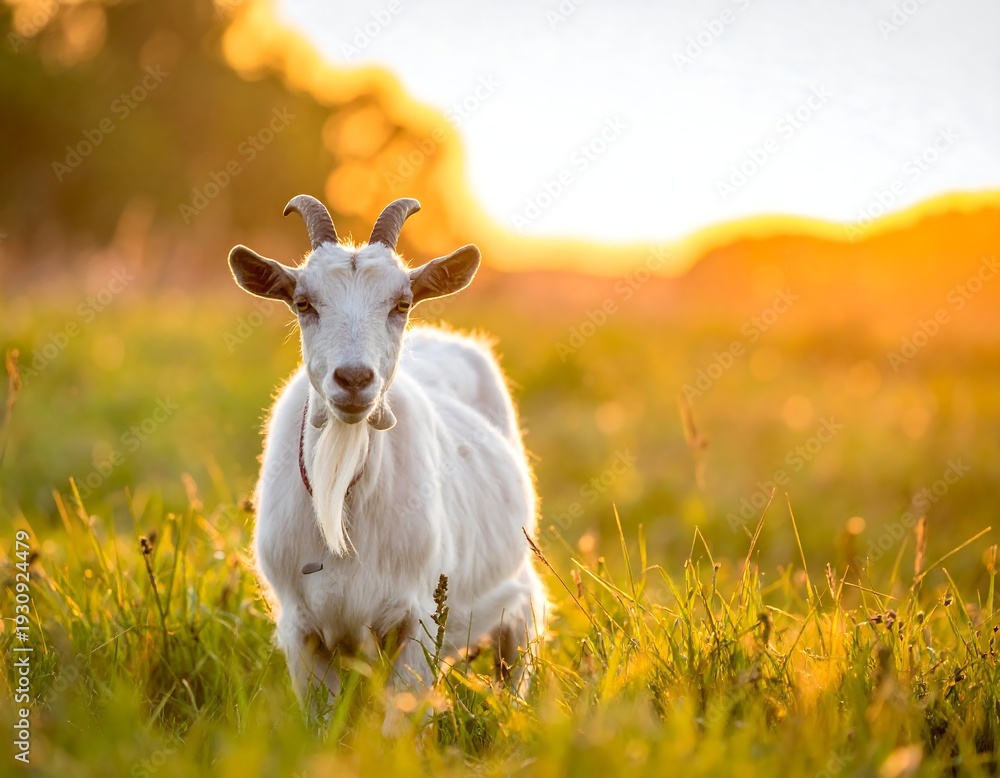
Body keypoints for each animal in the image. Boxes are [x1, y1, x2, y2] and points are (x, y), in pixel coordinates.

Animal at [228, 195, 547, 732]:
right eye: (303, 302)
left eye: (402, 303)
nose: (354, 378)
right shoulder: (301, 630)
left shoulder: (417, 621)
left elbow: (400, 725)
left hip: (516, 606)